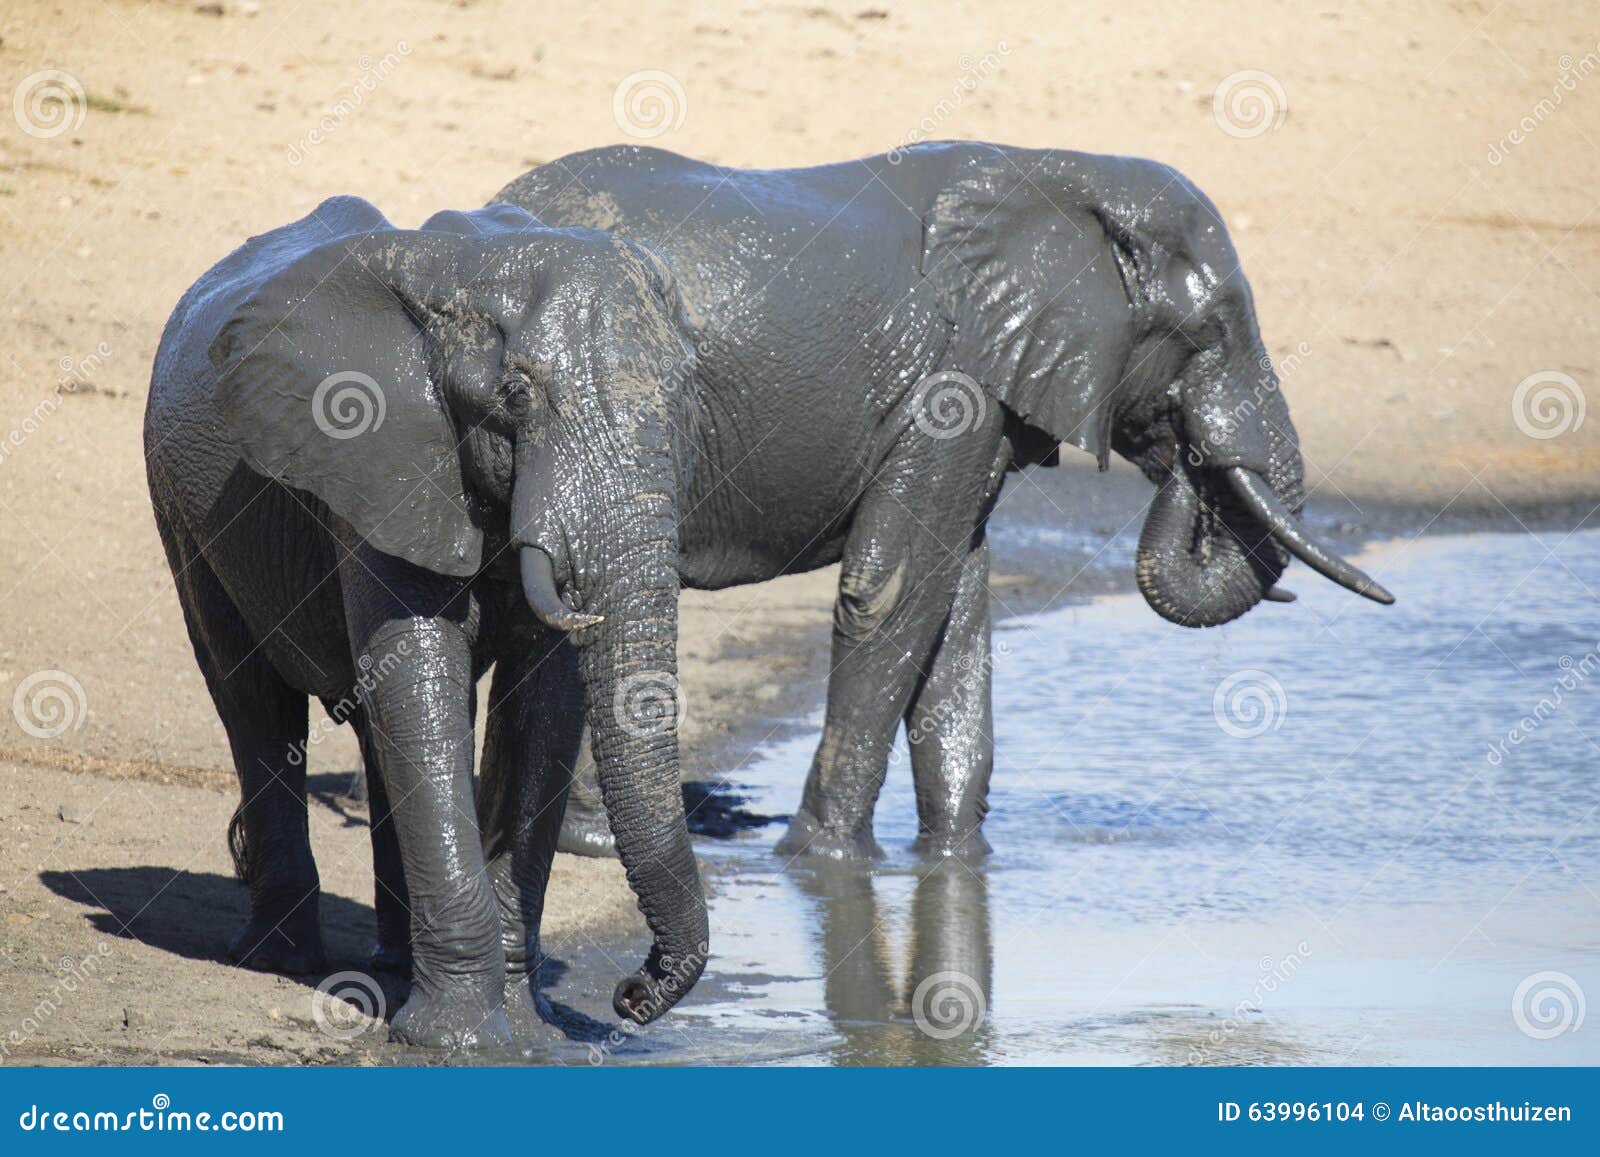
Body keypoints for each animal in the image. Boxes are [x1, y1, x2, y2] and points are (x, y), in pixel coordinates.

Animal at [144, 196, 709, 1047]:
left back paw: (391, 960)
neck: (460, 276)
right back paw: (278, 955)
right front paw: (460, 1041)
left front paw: (527, 1029)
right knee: (252, 700)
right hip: (184, 511)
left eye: (679, 399)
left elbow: (541, 707)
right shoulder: (375, 461)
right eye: (516, 397)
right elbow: (418, 673)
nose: (631, 994)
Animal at [494, 141, 1394, 861]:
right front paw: (828, 860)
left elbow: (957, 601)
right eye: (1211, 330)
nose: (1187, 454)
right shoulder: (952, 389)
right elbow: (891, 591)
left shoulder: (980, 402)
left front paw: (960, 860)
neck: (1062, 176)